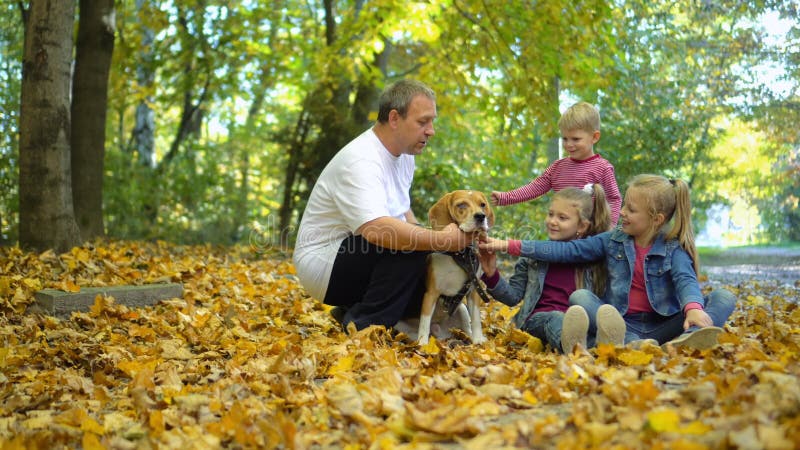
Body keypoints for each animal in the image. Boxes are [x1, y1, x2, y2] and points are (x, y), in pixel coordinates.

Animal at [418, 190, 494, 344]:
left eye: (482, 205)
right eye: (461, 205)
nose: (481, 216)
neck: (461, 256)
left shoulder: (473, 291)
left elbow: (476, 319)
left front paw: (478, 340)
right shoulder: (431, 294)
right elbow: (424, 321)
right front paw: (422, 343)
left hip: (463, 309)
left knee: (467, 327)